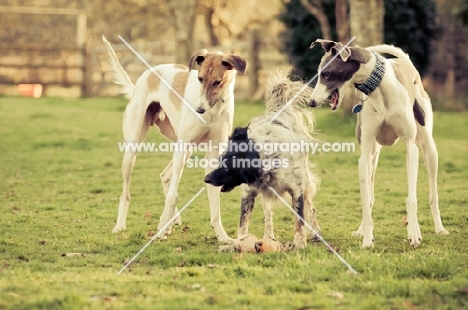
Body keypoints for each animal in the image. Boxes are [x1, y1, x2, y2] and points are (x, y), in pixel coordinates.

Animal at [102, 35, 247, 241]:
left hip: (184, 150)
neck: (214, 110)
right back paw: (121, 225)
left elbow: (215, 202)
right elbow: (173, 195)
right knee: (127, 193)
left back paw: (172, 219)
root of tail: (148, 73)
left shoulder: (213, 154)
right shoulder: (184, 145)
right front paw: (162, 227)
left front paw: (223, 237)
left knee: (165, 175)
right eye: (200, 78)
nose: (199, 109)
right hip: (135, 149)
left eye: (217, 82)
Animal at [308, 38, 448, 248]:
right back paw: (361, 230)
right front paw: (367, 238)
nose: (311, 102)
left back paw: (439, 228)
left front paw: (414, 234)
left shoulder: (410, 148)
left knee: (433, 193)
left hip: (428, 150)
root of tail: (405, 63)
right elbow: (366, 199)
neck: (378, 89)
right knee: (371, 194)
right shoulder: (365, 154)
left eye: (325, 73)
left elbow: (411, 199)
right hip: (374, 155)